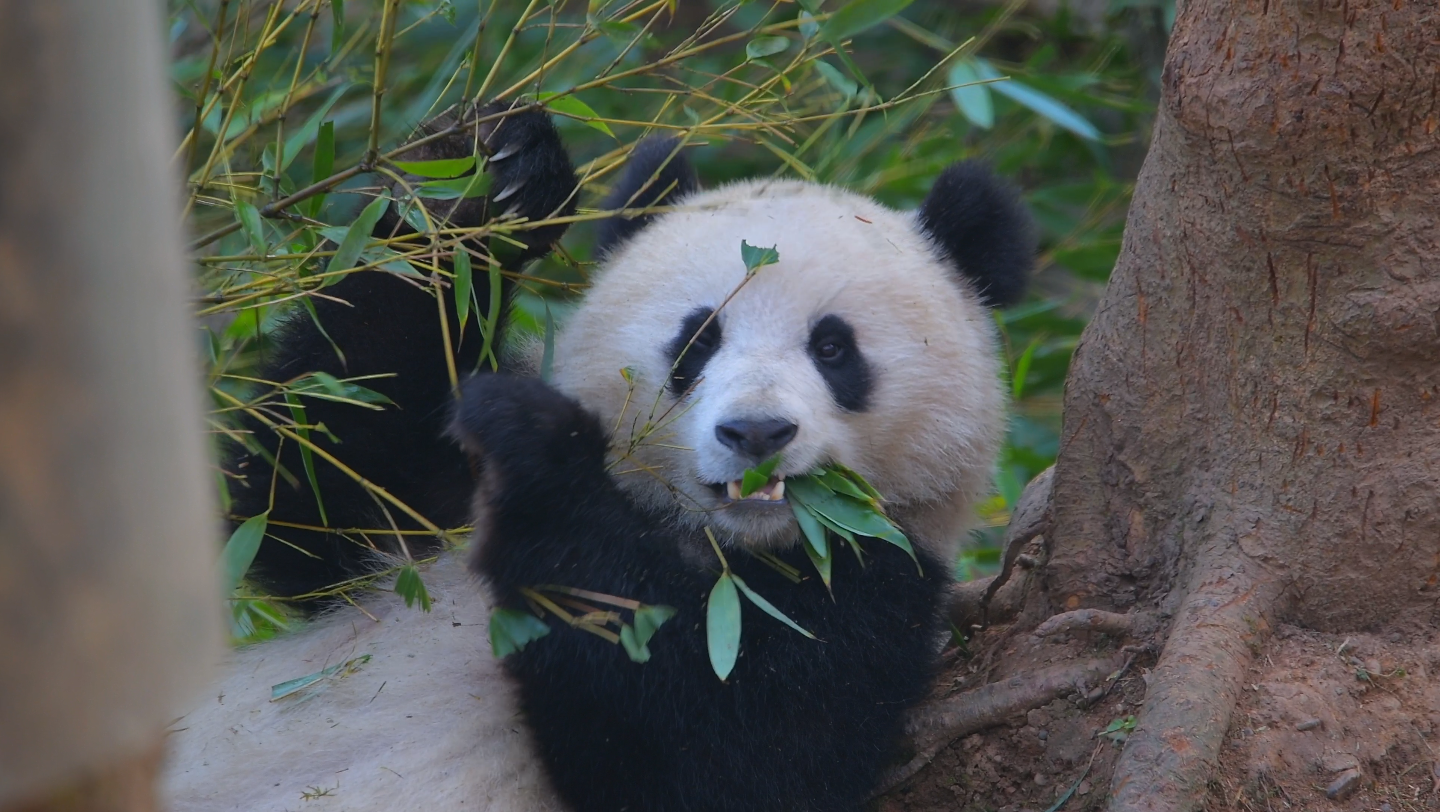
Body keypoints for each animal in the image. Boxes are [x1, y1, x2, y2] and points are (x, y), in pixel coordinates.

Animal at [163, 104, 1031, 806]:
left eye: (832, 348)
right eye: (698, 336)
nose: (755, 434)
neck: (710, 545)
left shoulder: (870, 586)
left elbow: (723, 760)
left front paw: (537, 443)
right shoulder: (423, 520)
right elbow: (313, 489)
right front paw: (490, 174)